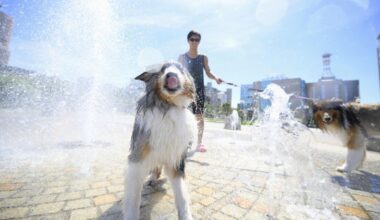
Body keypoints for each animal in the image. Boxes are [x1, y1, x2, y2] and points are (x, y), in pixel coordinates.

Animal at [124, 61, 197, 219]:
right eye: (162, 70)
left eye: (180, 69)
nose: (171, 74)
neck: (168, 106)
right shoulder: (137, 159)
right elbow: (133, 199)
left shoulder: (176, 160)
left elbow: (182, 196)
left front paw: (186, 215)